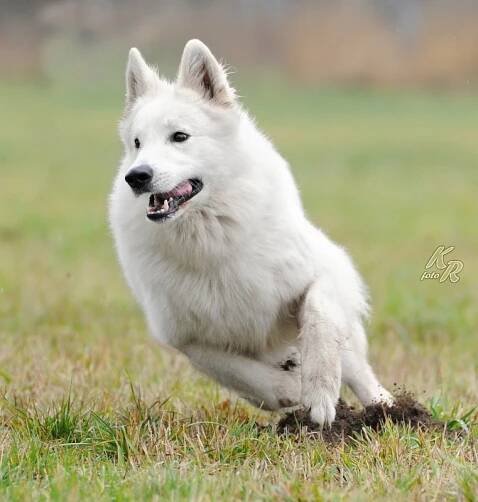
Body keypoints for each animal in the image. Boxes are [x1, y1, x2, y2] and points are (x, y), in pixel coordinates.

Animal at [110, 39, 394, 426]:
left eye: (179, 136)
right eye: (137, 142)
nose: (136, 176)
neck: (211, 235)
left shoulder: (323, 271)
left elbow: (319, 319)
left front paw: (320, 396)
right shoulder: (188, 336)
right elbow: (244, 375)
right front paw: (290, 391)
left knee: (358, 370)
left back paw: (390, 409)